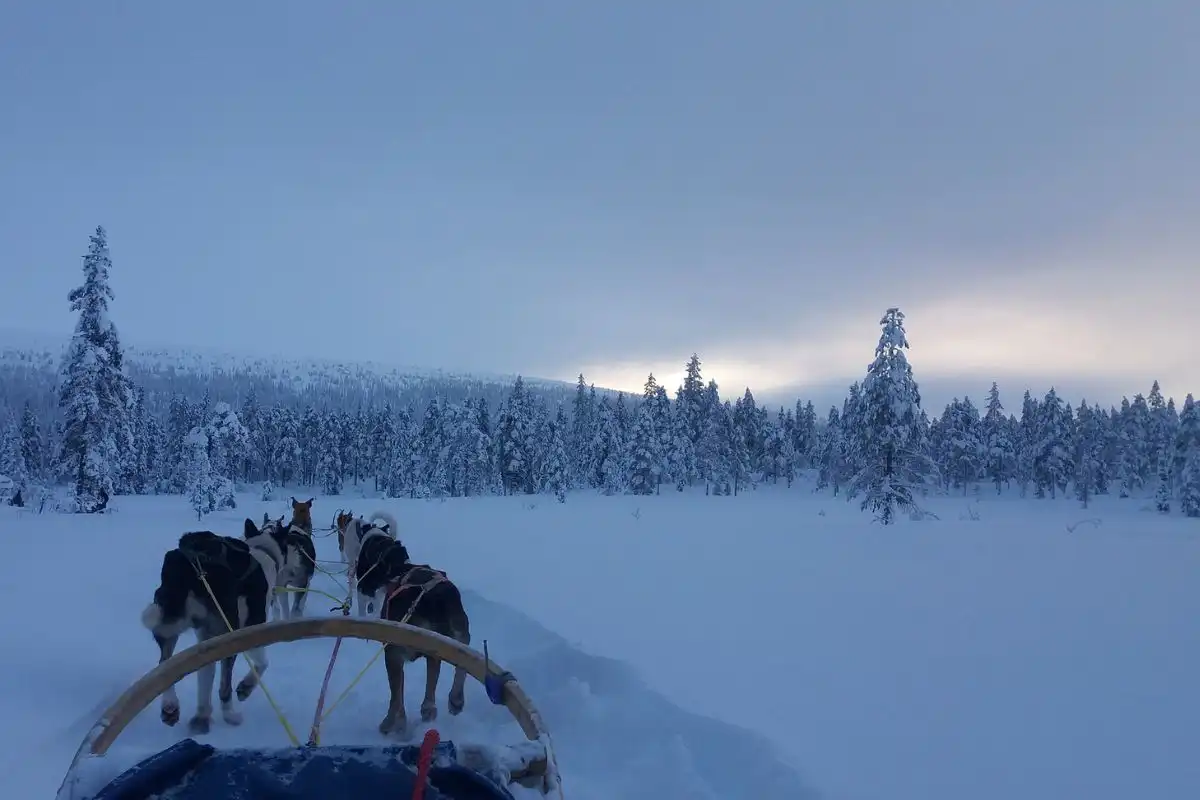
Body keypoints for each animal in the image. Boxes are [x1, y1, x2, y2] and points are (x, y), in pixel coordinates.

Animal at [140, 527, 283, 734]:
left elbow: (205, 679)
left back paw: (170, 706)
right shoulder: (250, 628)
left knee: (164, 662)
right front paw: (246, 687)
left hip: (168, 620)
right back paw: (230, 715)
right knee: (225, 685)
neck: (261, 550)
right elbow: (262, 664)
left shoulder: (206, 639)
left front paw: (201, 718)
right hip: (229, 629)